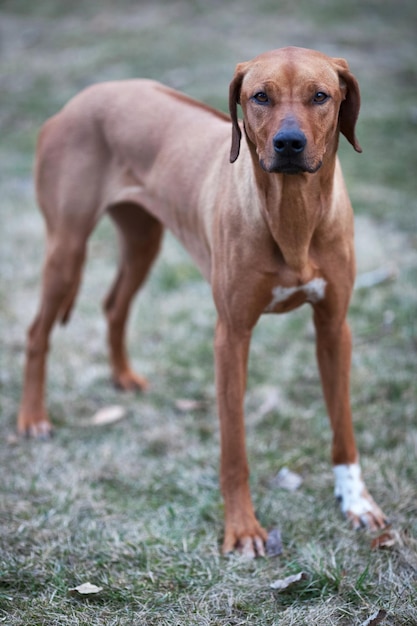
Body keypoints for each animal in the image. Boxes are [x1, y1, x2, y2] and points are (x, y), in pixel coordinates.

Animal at [17, 48, 386, 556]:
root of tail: (80, 99)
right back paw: (32, 418)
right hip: (67, 249)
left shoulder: (334, 328)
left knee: (114, 305)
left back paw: (123, 375)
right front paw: (244, 529)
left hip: (143, 241)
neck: (292, 213)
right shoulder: (231, 336)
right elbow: (234, 450)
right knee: (38, 331)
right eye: (260, 96)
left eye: (320, 96)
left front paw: (356, 502)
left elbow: (343, 430)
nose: (289, 144)